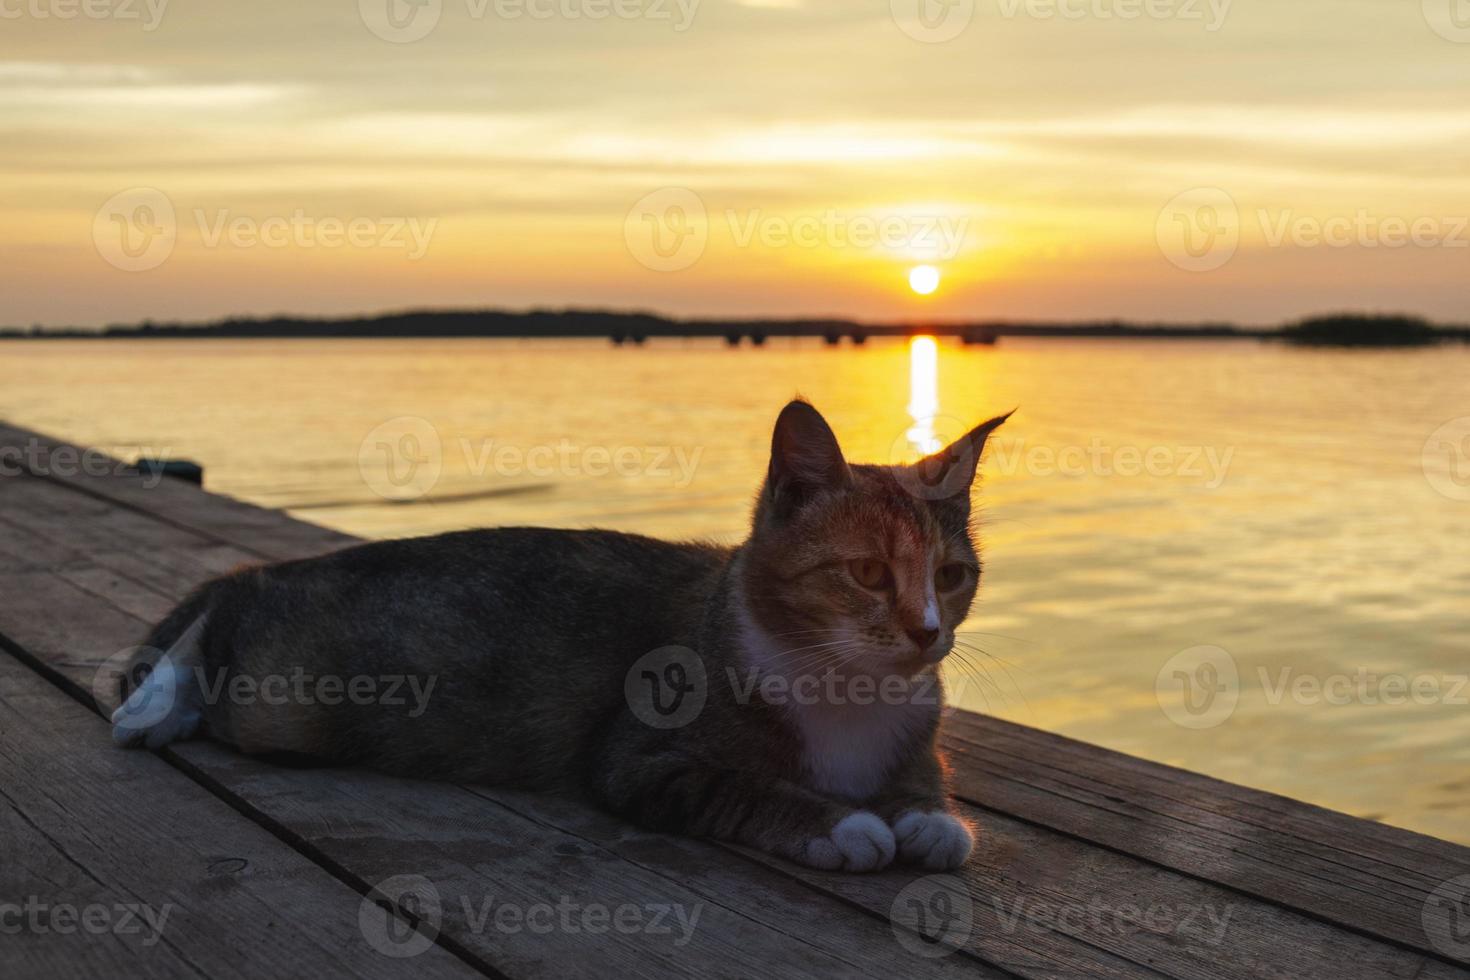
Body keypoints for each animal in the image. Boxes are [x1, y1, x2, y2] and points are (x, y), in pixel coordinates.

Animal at [111, 399, 1011, 875]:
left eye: (951, 576)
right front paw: (844, 825)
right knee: (230, 602)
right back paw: (155, 704)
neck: (846, 691)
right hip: (289, 694)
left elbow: (928, 784)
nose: (927, 633)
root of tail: (303, 566)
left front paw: (928, 819)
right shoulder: (641, 757)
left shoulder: (915, 731)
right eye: (867, 572)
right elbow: (739, 787)